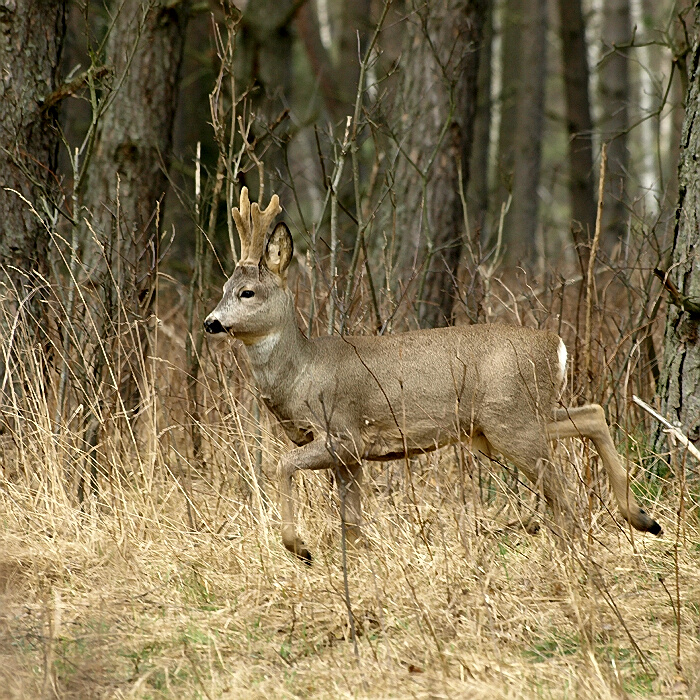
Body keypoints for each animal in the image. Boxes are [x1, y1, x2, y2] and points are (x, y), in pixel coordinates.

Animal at [206, 187, 660, 564]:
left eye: (247, 292)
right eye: (224, 288)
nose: (211, 322)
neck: (301, 373)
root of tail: (557, 345)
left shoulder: (344, 433)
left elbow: (283, 464)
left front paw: (299, 548)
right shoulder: (352, 456)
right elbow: (351, 524)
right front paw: (358, 565)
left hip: (511, 420)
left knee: (563, 488)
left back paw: (577, 557)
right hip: (505, 422)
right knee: (592, 414)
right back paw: (641, 517)